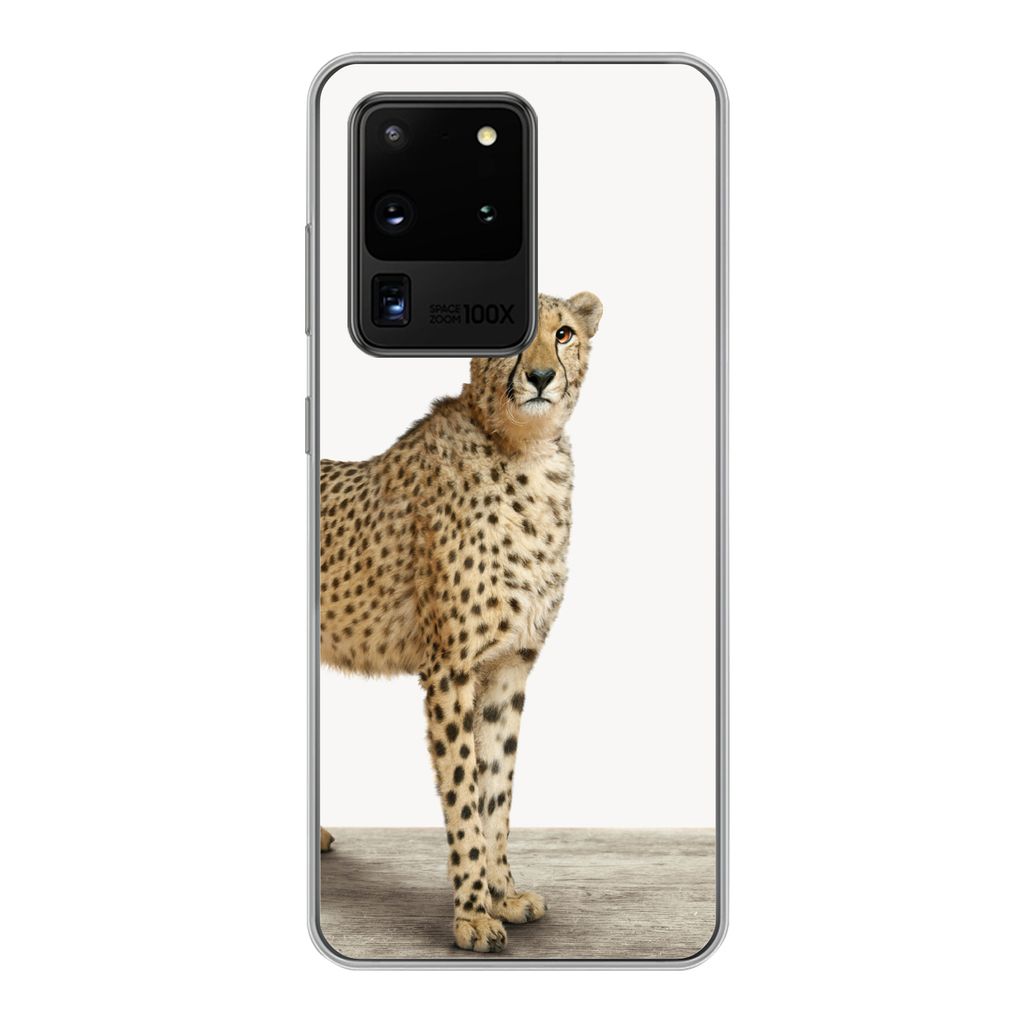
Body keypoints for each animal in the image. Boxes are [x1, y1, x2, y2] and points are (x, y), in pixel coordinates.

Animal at [319, 291, 603, 952]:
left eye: (565, 333)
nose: (541, 376)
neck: (525, 455)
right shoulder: (449, 670)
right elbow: (463, 794)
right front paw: (472, 913)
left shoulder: (508, 666)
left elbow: (496, 784)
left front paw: (503, 892)